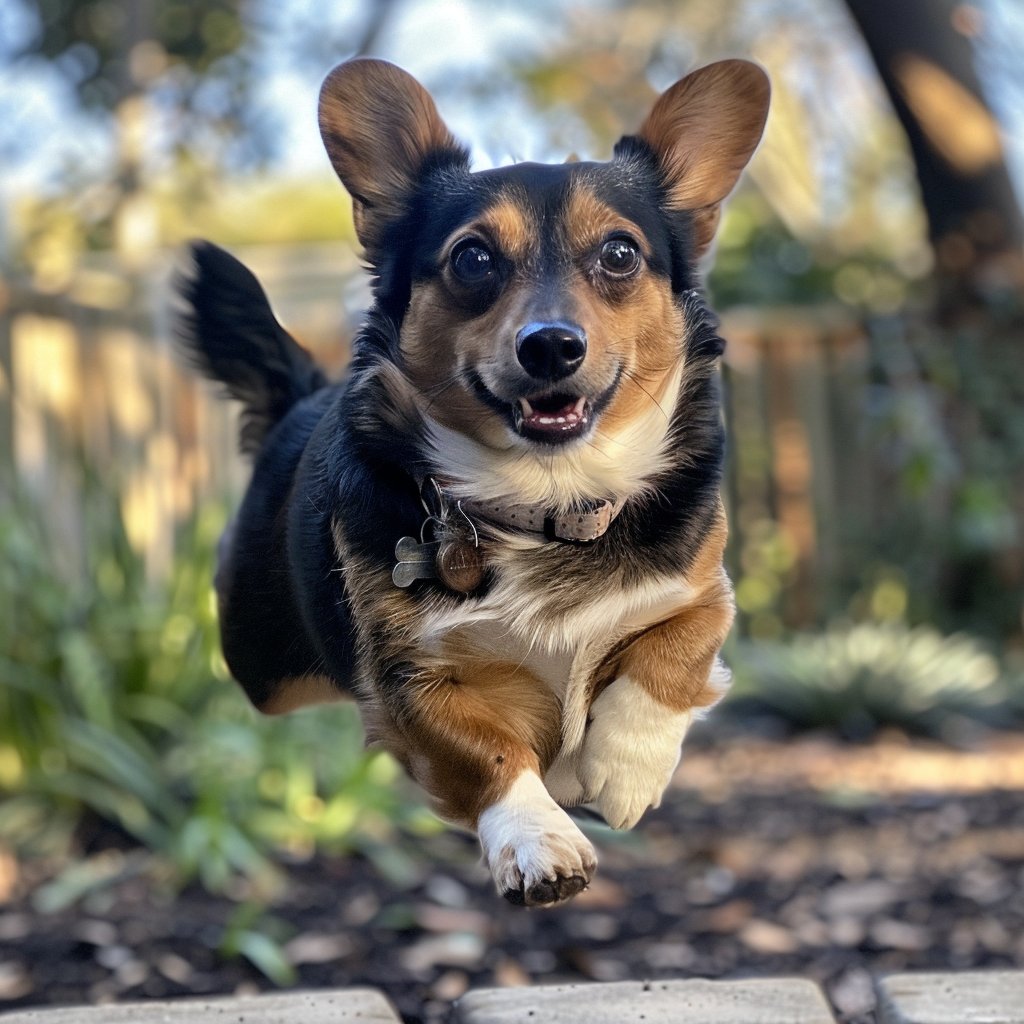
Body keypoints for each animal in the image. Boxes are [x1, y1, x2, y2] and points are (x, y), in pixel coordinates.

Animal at [178, 56, 770, 905]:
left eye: (620, 254)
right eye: (473, 259)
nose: (550, 345)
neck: (545, 499)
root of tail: (301, 394)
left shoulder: (703, 586)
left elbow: (681, 647)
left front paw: (626, 768)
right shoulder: (411, 678)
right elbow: (486, 748)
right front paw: (536, 839)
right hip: (264, 671)